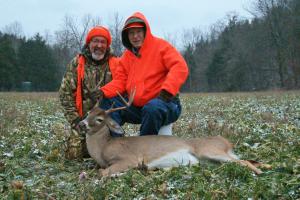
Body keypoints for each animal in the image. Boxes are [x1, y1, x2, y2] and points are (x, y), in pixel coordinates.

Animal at [79, 90, 262, 177]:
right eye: (88, 113)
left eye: (100, 119)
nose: (81, 124)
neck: (103, 148)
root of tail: (225, 141)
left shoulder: (128, 158)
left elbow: (102, 173)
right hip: (210, 161)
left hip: (210, 151)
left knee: (245, 161)